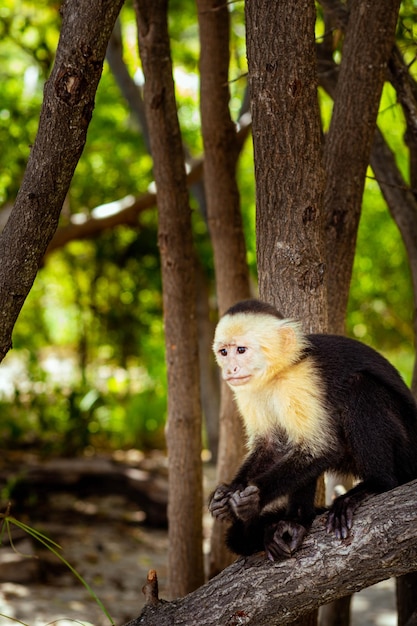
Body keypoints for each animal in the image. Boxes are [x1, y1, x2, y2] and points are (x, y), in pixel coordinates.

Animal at [210, 300, 416, 560]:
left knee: (359, 386)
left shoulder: (300, 380)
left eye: (241, 350)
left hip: (407, 450)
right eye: (224, 352)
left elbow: (323, 448)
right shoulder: (249, 390)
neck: (278, 373)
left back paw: (375, 486)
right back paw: (296, 523)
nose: (231, 370)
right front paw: (229, 492)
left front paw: (254, 498)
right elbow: (272, 445)